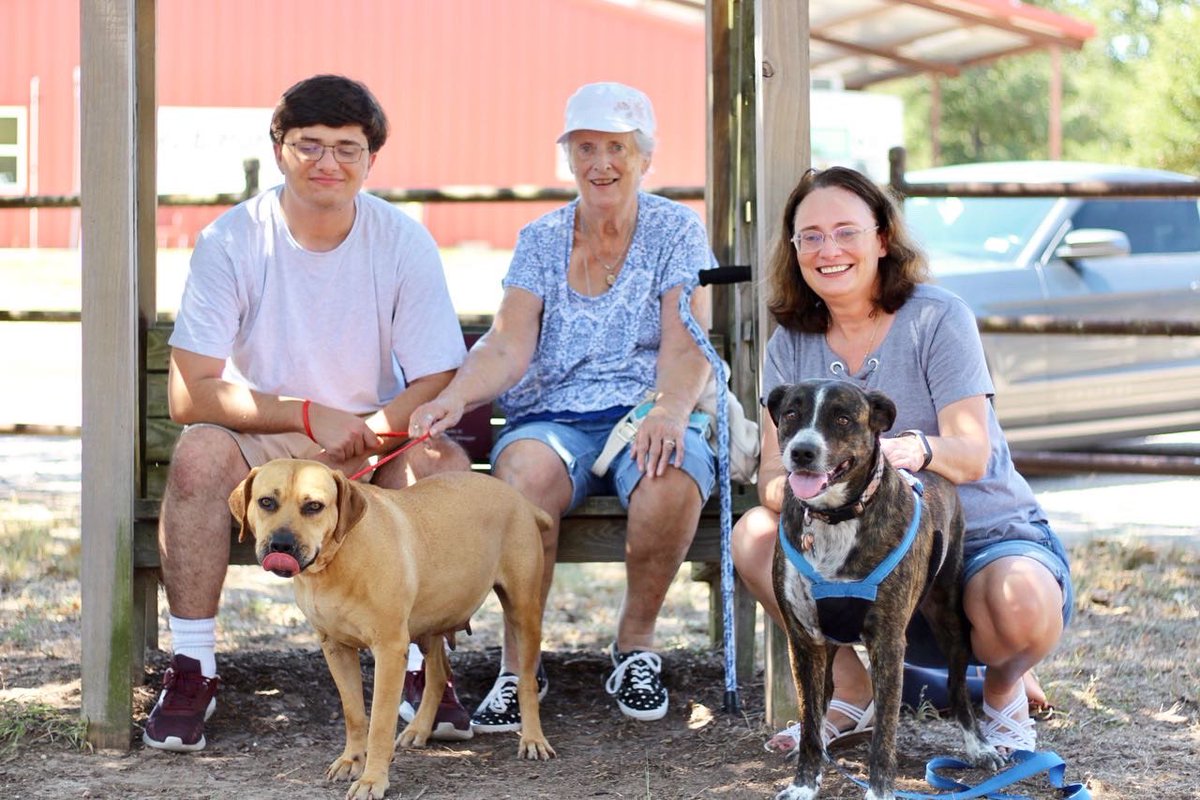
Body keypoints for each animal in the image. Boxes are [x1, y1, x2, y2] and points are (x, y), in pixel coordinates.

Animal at [226, 462, 554, 800]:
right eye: (266, 502)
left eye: (314, 506)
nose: (281, 544)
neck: (339, 557)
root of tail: (519, 499)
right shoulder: (335, 649)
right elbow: (354, 713)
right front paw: (352, 760)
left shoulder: (389, 651)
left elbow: (380, 724)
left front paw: (373, 779)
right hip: (431, 624)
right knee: (439, 675)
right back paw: (420, 728)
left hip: (523, 611)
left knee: (527, 681)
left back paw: (533, 739)